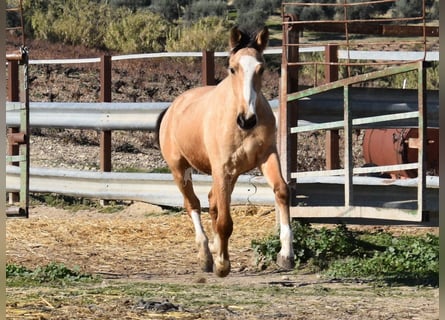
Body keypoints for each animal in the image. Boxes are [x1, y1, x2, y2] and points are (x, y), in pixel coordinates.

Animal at [156, 26, 294, 276]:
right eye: (232, 68)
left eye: (261, 68)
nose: (247, 120)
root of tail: (173, 108)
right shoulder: (222, 168)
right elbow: (225, 221)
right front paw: (222, 264)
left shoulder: (267, 157)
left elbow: (281, 191)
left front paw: (286, 255)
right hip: (180, 169)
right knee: (193, 204)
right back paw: (205, 256)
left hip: (231, 174)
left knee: (212, 201)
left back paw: (213, 246)